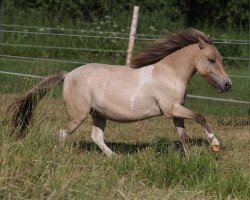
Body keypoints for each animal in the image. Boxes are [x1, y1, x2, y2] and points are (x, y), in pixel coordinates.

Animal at [9, 28, 232, 156]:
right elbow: (200, 116)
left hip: (98, 114)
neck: (170, 73)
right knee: (64, 132)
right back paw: (63, 155)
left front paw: (189, 158)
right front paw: (215, 143)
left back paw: (114, 158)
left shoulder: (176, 111)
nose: (228, 85)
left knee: (96, 137)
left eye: (220, 59)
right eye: (211, 60)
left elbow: (183, 136)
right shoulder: (171, 109)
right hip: (78, 114)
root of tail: (68, 74)